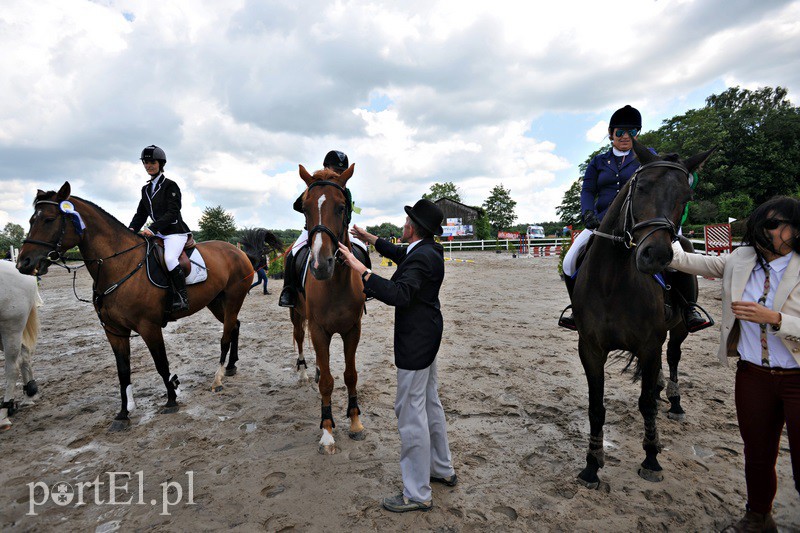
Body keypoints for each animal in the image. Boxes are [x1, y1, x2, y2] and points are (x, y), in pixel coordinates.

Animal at [16, 181, 253, 430]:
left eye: (49, 219)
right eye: (31, 220)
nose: (24, 263)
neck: (119, 265)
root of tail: (236, 250)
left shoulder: (149, 327)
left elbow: (161, 363)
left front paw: (171, 400)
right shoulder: (114, 331)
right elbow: (123, 371)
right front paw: (123, 413)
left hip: (233, 298)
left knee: (225, 335)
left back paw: (218, 378)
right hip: (216, 302)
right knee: (234, 325)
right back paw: (231, 367)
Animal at [290, 163, 366, 454]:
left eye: (342, 207)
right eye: (304, 207)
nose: (321, 265)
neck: (335, 285)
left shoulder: (352, 329)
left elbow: (350, 375)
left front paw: (355, 422)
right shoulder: (319, 330)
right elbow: (327, 383)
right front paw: (327, 431)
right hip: (297, 315)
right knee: (300, 338)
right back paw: (303, 372)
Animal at [572, 141, 716, 486]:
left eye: (686, 198)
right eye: (641, 187)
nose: (657, 256)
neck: (611, 281)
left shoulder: (649, 345)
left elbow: (647, 404)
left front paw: (651, 458)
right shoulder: (590, 348)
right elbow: (596, 408)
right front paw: (591, 465)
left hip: (678, 329)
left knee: (673, 356)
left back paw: (675, 403)